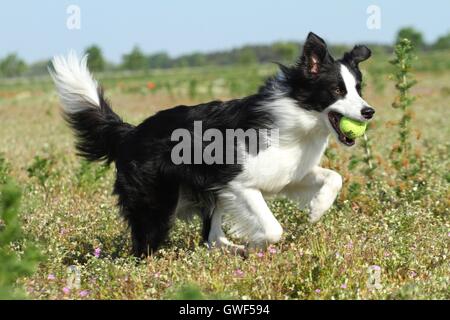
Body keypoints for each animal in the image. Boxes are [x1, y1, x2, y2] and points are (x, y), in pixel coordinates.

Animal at [49, 33, 374, 258]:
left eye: (359, 89)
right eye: (336, 90)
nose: (369, 111)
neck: (298, 116)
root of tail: (131, 132)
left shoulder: (288, 174)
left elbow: (334, 177)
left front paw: (317, 210)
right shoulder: (238, 183)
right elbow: (273, 228)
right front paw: (258, 241)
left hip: (207, 195)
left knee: (211, 238)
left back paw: (235, 251)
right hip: (158, 203)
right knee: (146, 244)